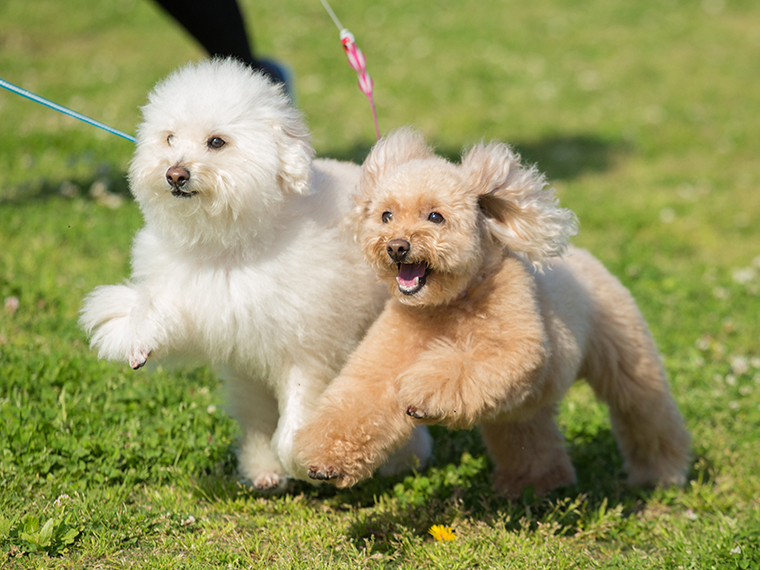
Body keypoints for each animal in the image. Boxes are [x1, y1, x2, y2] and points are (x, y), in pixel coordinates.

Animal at [81, 60, 434, 490]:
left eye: (216, 142)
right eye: (169, 138)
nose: (175, 174)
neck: (232, 242)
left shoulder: (307, 348)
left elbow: (297, 412)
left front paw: (303, 461)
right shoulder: (201, 304)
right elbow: (162, 310)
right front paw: (137, 338)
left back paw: (405, 459)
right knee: (256, 415)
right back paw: (264, 470)